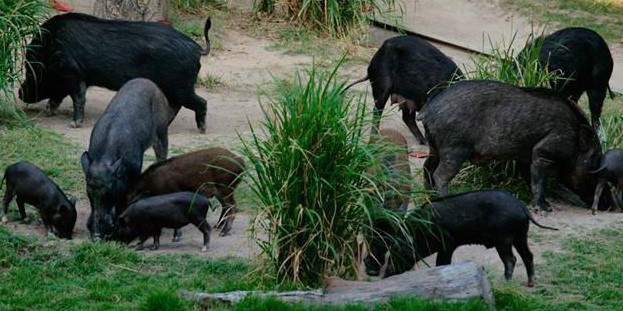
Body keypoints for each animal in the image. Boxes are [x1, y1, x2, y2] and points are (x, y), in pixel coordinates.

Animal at [18, 11, 210, 132]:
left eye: (29, 70)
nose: (20, 92)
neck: (49, 50)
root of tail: (197, 49)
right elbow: (58, 97)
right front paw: (49, 113)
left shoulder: (72, 73)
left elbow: (78, 98)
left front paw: (73, 125)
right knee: (175, 106)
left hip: (180, 86)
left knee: (200, 102)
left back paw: (202, 130)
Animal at [83, 78, 172, 241]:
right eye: (89, 194)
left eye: (108, 192)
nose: (97, 236)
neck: (105, 157)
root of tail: (151, 83)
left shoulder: (135, 170)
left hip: (162, 133)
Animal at [364, 190, 560, 288]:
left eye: (397, 253)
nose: (385, 275)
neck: (421, 232)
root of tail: (522, 206)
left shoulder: (447, 244)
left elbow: (442, 262)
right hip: (521, 236)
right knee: (528, 256)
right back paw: (530, 284)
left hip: (503, 238)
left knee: (511, 259)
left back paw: (505, 282)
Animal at [422, 80, 608, 214]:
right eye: (594, 163)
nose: (609, 205)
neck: (574, 136)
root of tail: (427, 111)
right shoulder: (543, 152)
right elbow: (540, 181)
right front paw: (545, 210)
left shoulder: (526, 156)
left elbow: (530, 179)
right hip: (454, 148)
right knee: (440, 175)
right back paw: (446, 200)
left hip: (435, 148)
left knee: (427, 168)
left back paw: (429, 197)